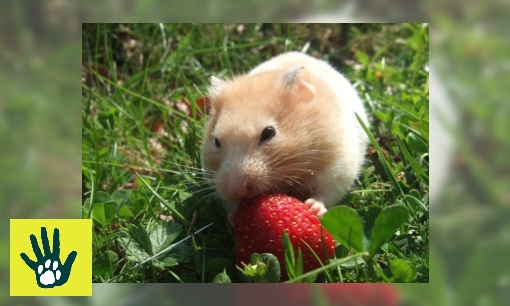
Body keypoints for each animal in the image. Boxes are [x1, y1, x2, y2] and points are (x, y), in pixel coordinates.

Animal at [201, 51, 368, 218]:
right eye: (216, 141)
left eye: (268, 133)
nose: (235, 191)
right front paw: (233, 216)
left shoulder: (338, 167)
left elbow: (325, 193)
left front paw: (312, 207)